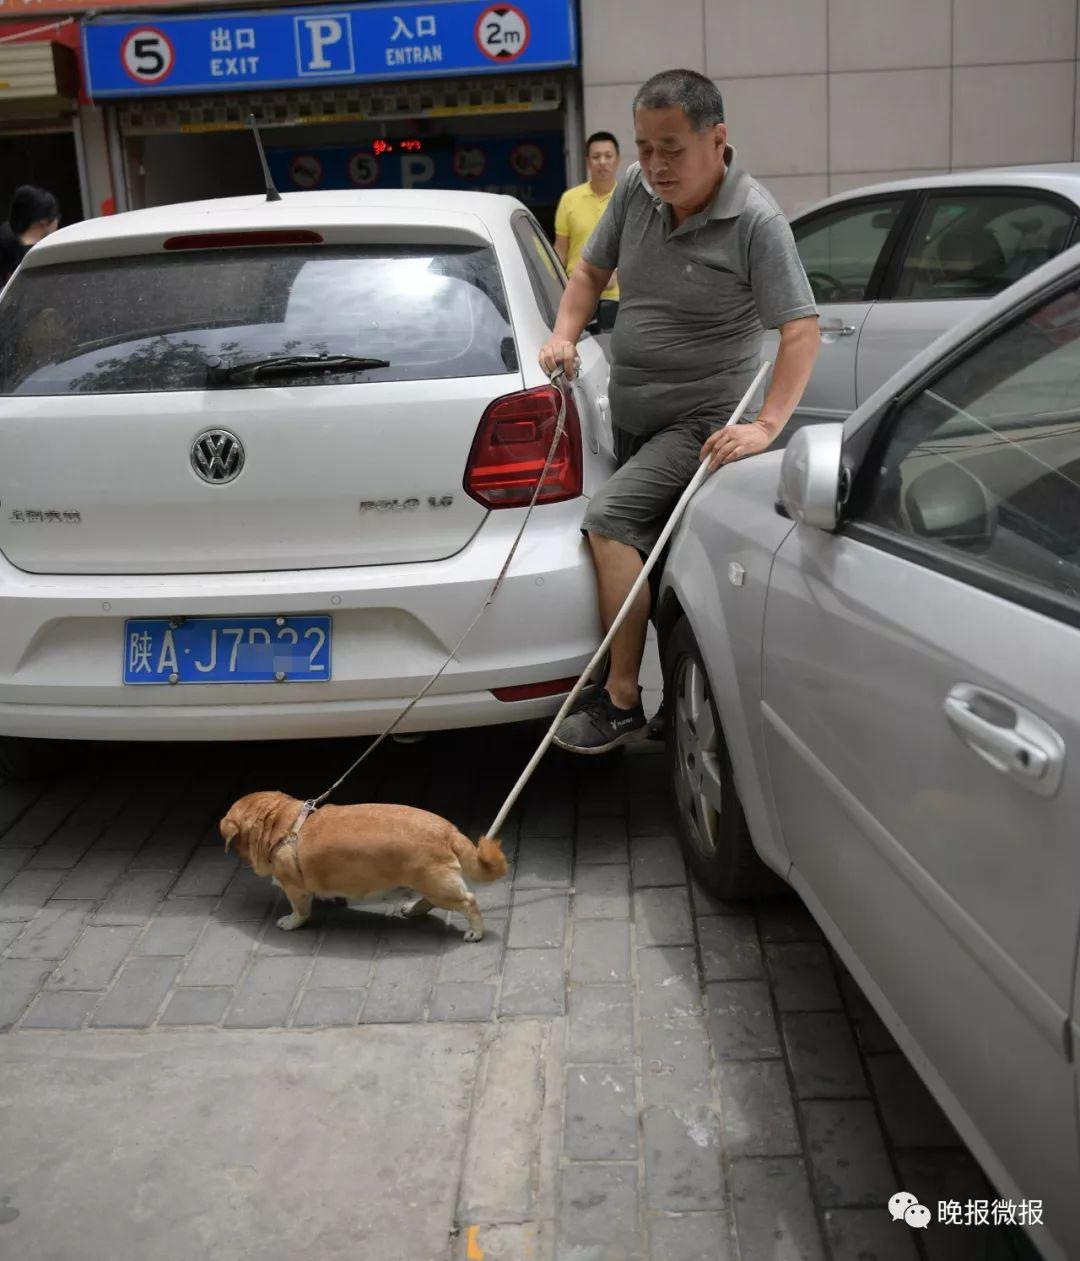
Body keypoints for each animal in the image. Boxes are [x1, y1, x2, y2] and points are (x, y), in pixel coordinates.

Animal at [222, 791, 507, 943]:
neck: (282, 823)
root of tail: (448, 831)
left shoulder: (296, 890)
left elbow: (300, 911)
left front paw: (291, 922)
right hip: (431, 883)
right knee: (431, 900)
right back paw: (414, 909)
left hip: (437, 885)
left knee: (468, 901)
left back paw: (475, 931)